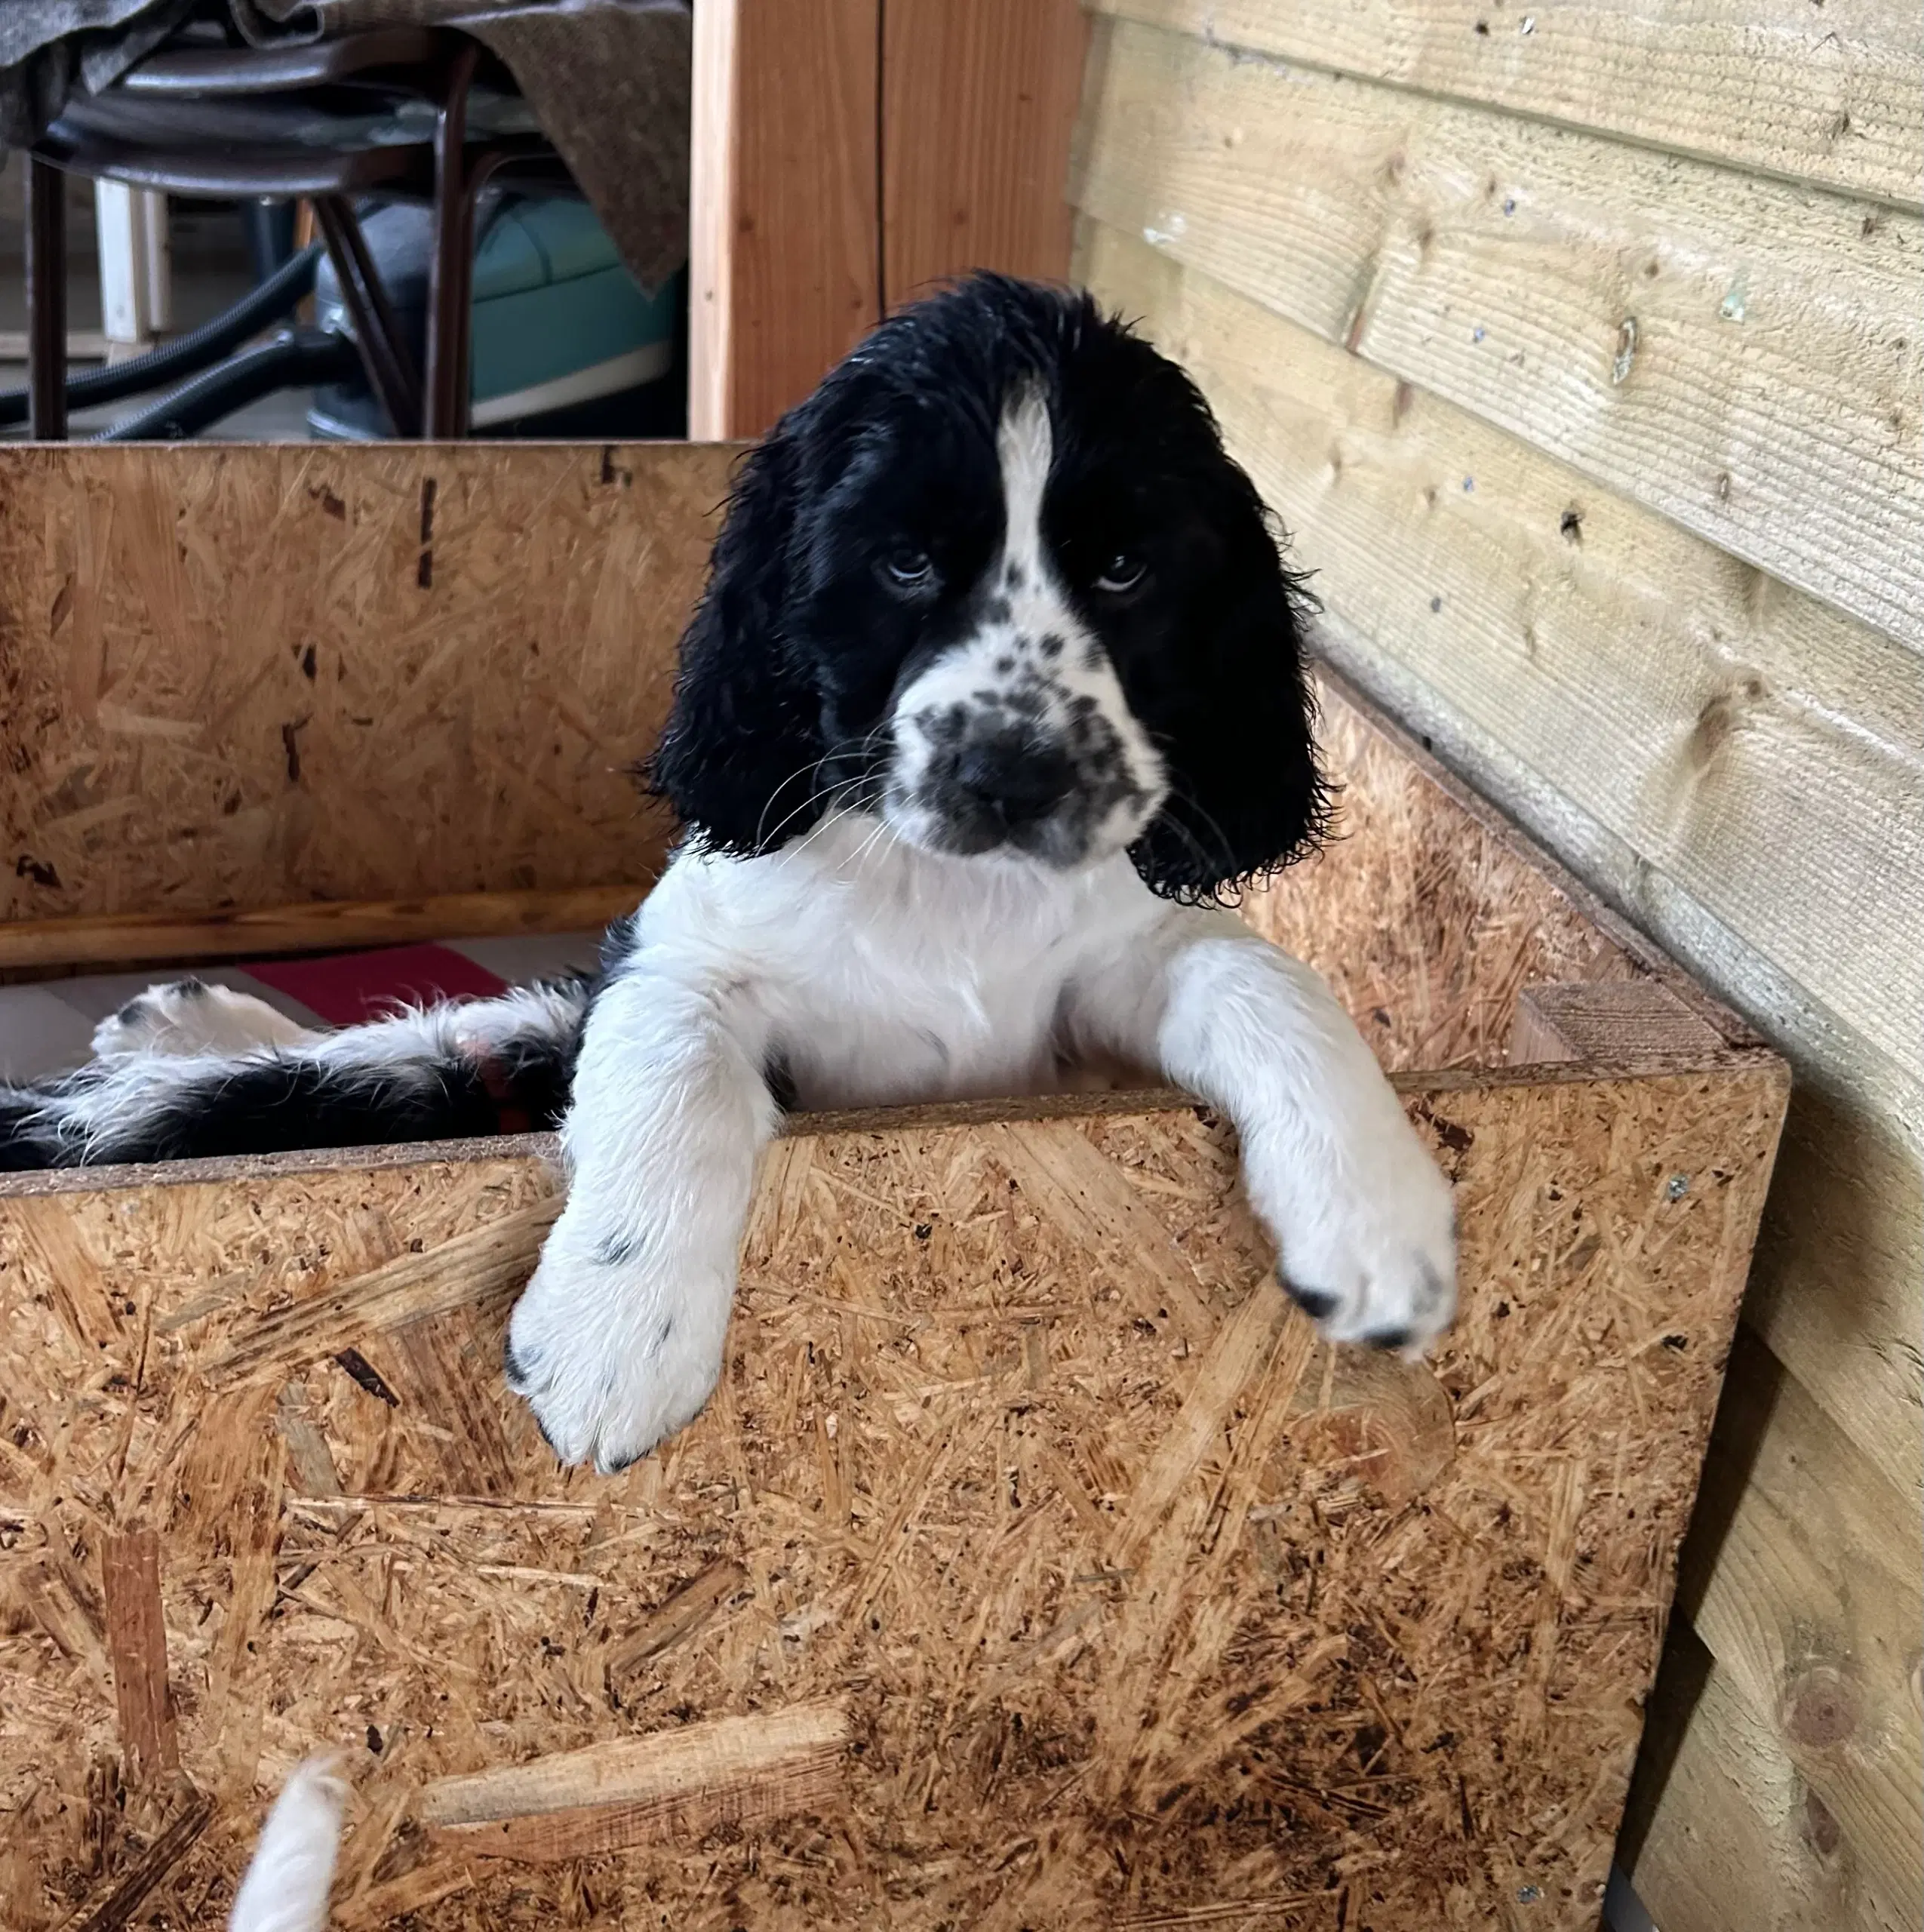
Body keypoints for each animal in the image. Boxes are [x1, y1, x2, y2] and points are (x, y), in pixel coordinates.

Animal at [0, 276, 1452, 1475]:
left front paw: (1379, 1217)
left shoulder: (1103, 987)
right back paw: (180, 1026)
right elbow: (675, 1064)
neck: (946, 893)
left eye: (1125, 567)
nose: (1015, 773)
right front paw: (616, 1333)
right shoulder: (684, 952)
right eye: (904, 559)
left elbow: (1253, 974)